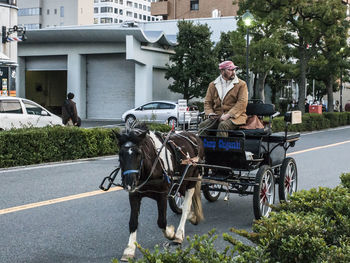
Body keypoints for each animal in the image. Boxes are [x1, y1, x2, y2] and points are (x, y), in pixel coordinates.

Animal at [113, 125, 204, 262]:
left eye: (139, 154)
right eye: (120, 154)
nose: (129, 183)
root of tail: (194, 135)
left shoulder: (162, 194)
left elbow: (161, 222)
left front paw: (171, 233)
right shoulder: (134, 195)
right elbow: (133, 222)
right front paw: (129, 249)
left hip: (192, 179)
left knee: (186, 206)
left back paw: (179, 233)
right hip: (181, 182)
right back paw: (192, 216)